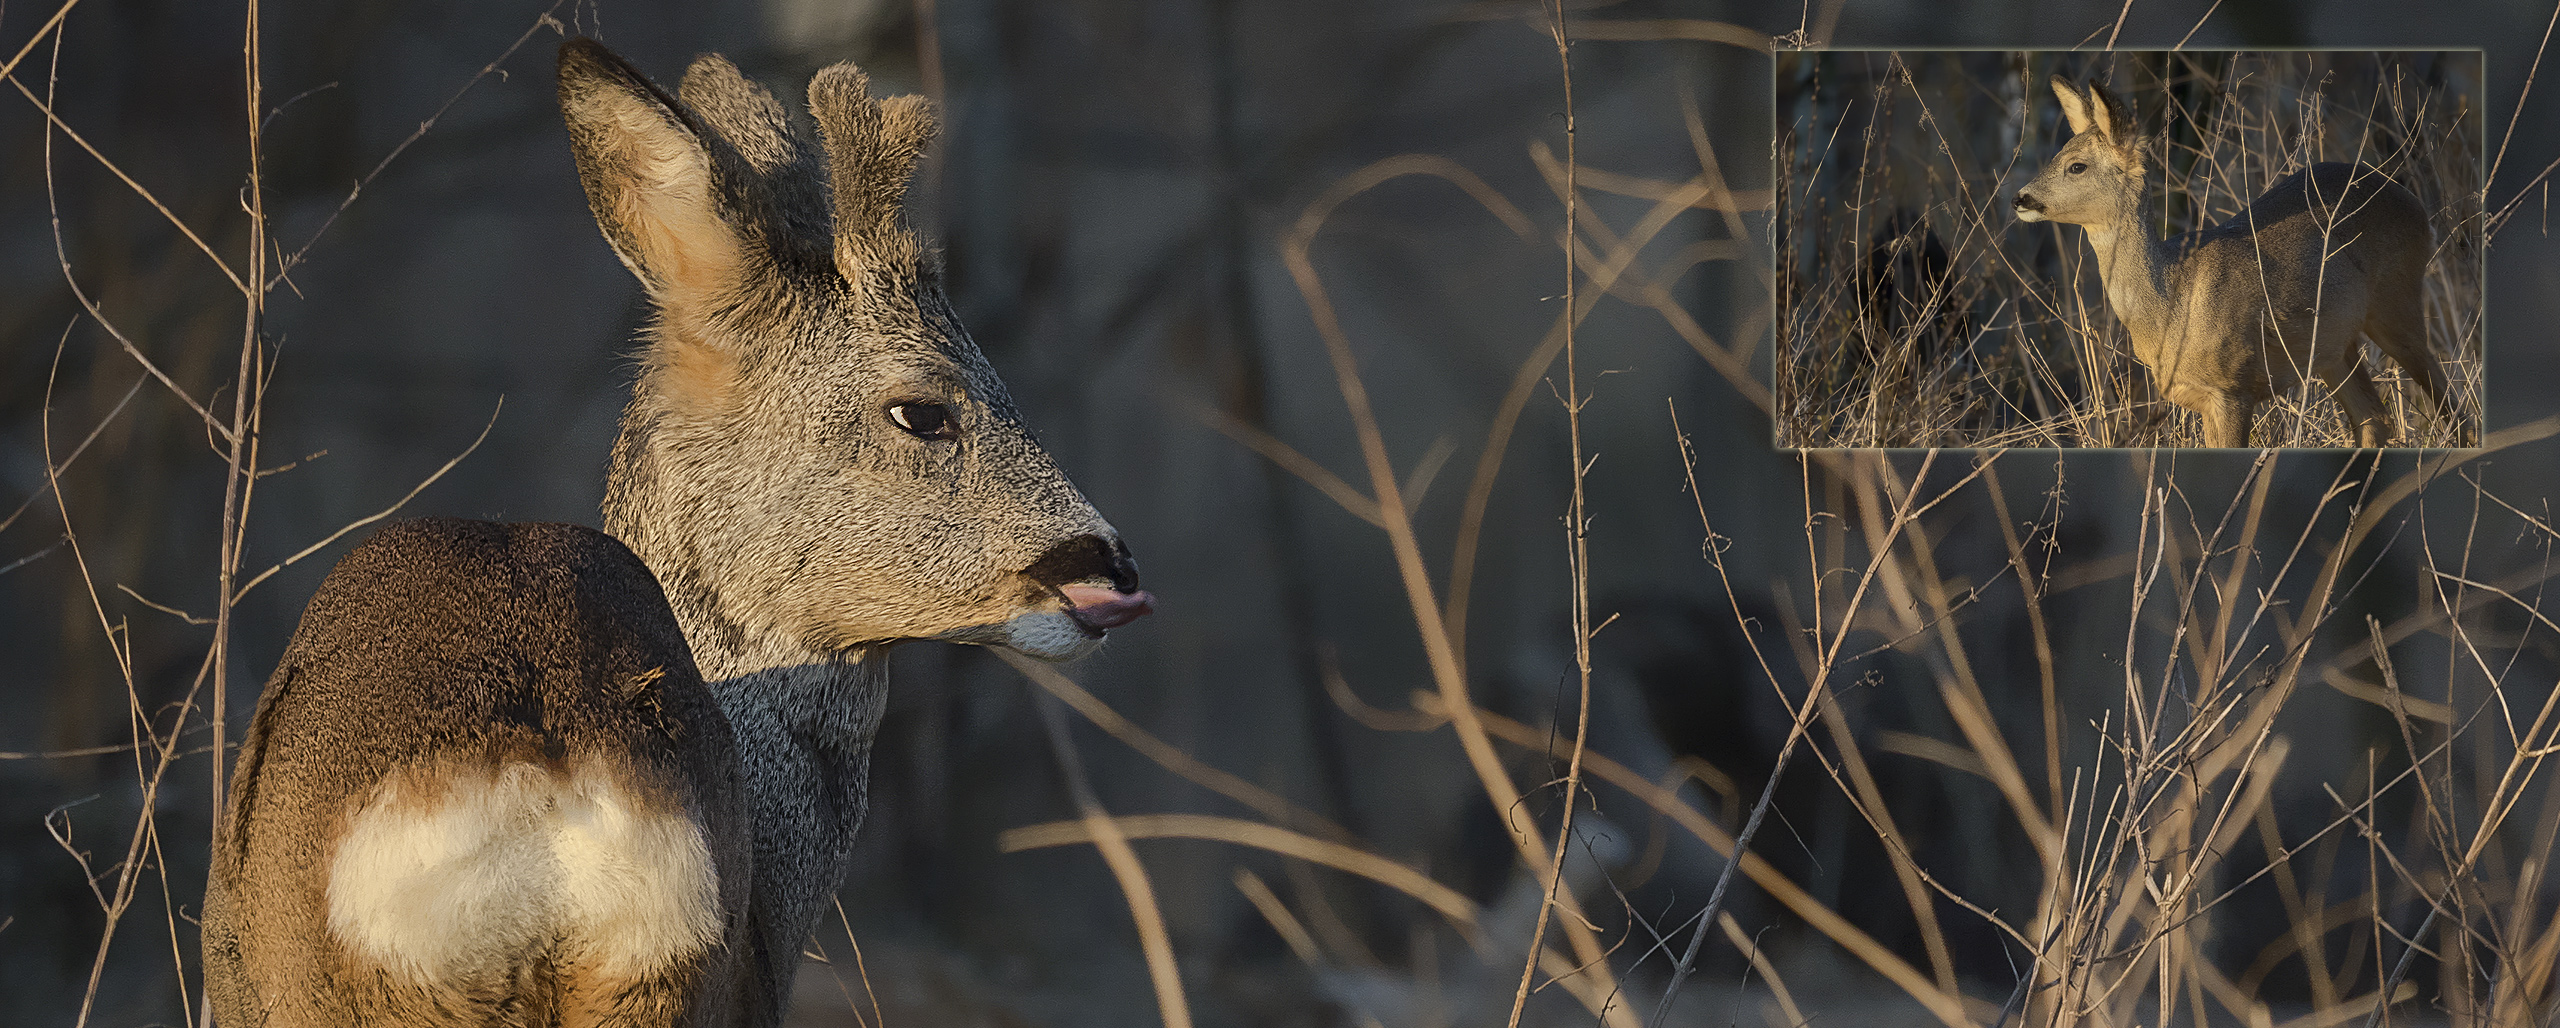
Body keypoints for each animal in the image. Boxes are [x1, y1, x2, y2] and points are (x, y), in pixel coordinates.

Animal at [2007, 76, 2447, 444]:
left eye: (2076, 166)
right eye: (2059, 154)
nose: (2019, 198)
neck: (2169, 306)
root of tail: (2414, 203)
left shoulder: (2234, 386)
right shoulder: (2202, 398)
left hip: (2398, 302)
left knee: (2445, 398)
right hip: (2334, 347)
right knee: (2375, 417)